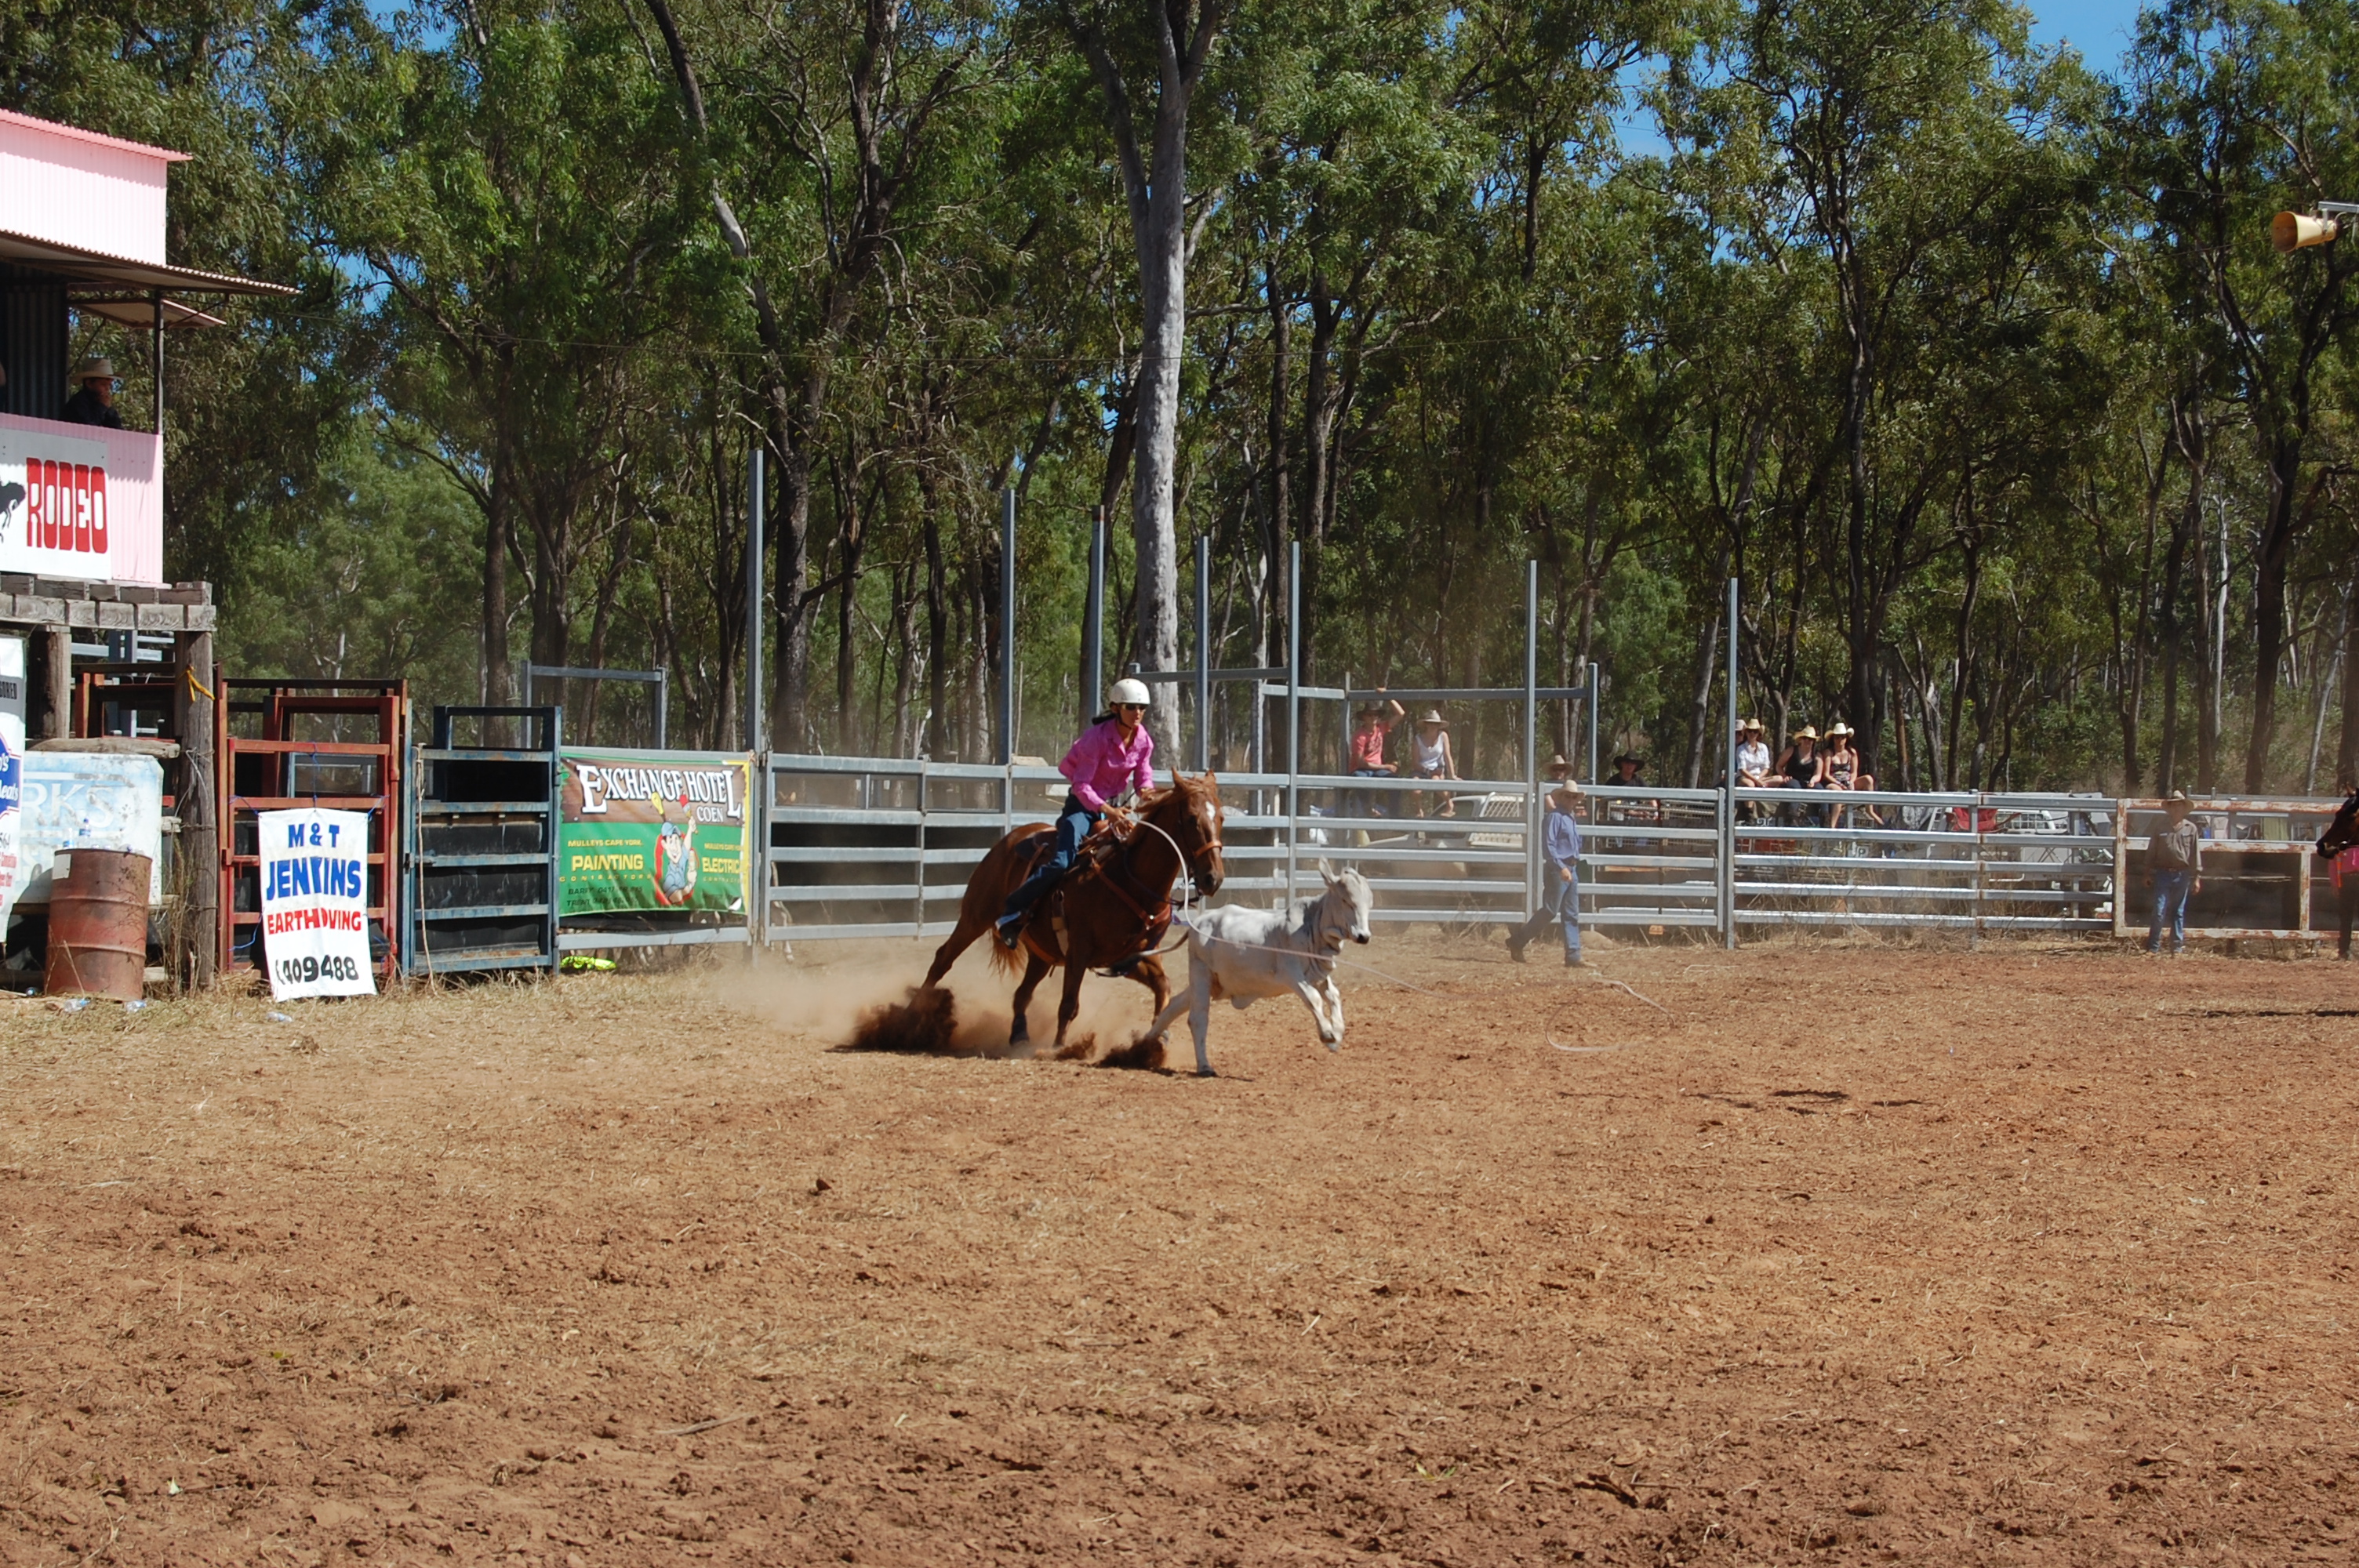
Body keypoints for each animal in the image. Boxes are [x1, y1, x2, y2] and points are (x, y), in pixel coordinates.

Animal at [920, 768, 1227, 1051]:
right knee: (943, 958)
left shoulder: (1129, 958)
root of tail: (1011, 838)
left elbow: (1163, 987)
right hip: (976, 916)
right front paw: (1059, 1048)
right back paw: (918, 1014)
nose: (1213, 878)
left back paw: (1019, 1035)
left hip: (1042, 953)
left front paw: (1155, 1044)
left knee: (1022, 994)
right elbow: (1069, 1004)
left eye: (1221, 818)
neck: (1131, 877)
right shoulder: (1079, 950)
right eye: (1192, 818)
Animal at [1146, 862, 1377, 1070]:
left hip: (1212, 982)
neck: (1312, 926)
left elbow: (1333, 996)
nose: (1363, 936)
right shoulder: (1292, 976)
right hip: (1200, 972)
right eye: (1346, 900)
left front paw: (1336, 1034)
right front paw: (1328, 1034)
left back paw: (1145, 1044)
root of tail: (1198, 923)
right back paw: (1203, 1066)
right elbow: (1314, 999)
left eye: (1369, 904)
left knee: (1174, 1005)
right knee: (1198, 1018)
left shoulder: (1319, 976)